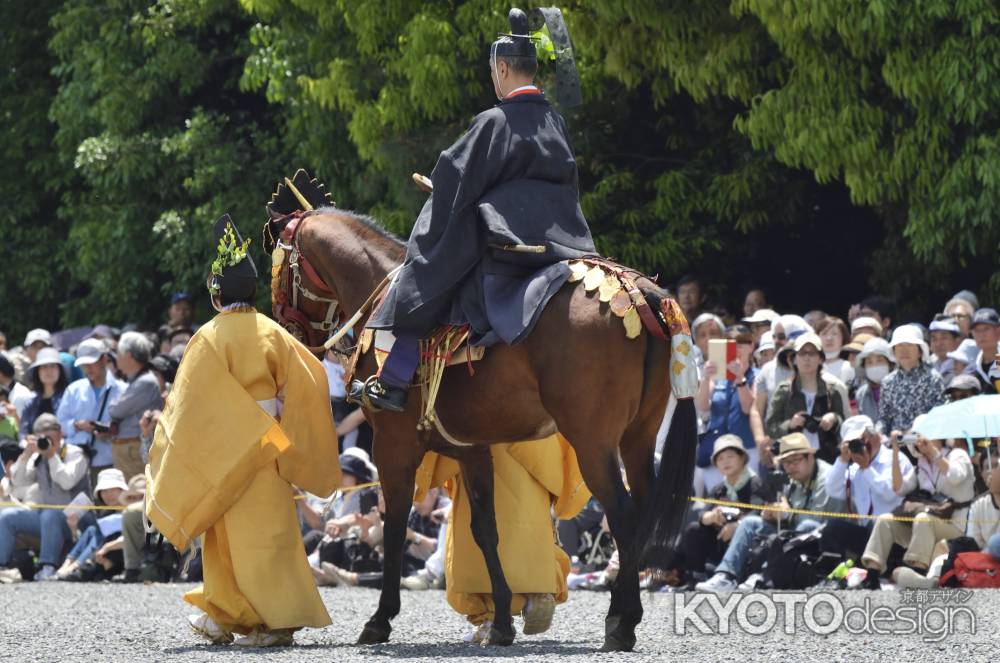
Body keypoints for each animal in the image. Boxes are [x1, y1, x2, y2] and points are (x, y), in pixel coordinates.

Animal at [264, 205, 696, 652]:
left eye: (277, 265)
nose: (291, 332)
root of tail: (639, 292)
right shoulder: (473, 450)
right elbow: (486, 530)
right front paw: (502, 621)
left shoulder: (393, 445)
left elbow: (394, 526)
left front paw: (380, 619)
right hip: (638, 437)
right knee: (642, 511)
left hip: (593, 443)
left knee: (623, 517)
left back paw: (620, 622)